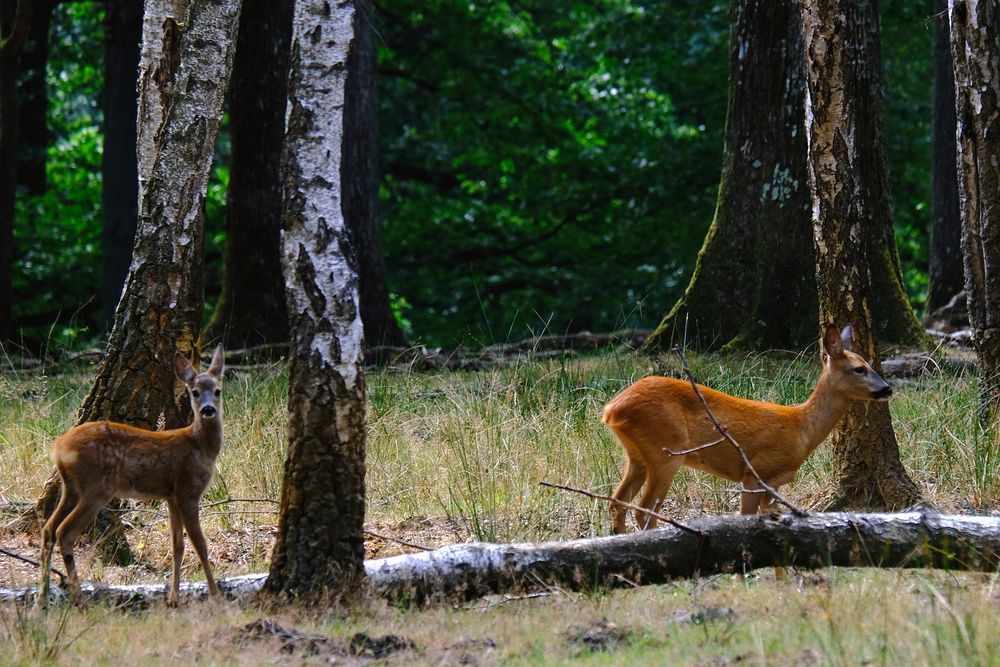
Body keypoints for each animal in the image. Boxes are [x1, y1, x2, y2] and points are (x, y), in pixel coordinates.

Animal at [40, 344, 226, 604]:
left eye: (217, 391)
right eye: (195, 392)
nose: (208, 409)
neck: (201, 446)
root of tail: (59, 448)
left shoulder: (171, 496)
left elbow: (177, 546)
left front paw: (173, 598)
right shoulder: (188, 490)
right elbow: (200, 544)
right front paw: (215, 595)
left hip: (72, 488)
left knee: (48, 529)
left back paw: (43, 597)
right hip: (97, 488)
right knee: (64, 532)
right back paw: (79, 599)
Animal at [600, 326, 892, 536]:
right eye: (859, 369)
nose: (887, 388)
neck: (802, 428)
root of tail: (612, 409)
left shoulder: (774, 483)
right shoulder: (755, 472)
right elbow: (746, 518)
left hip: (638, 455)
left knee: (617, 503)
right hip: (667, 452)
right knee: (642, 510)